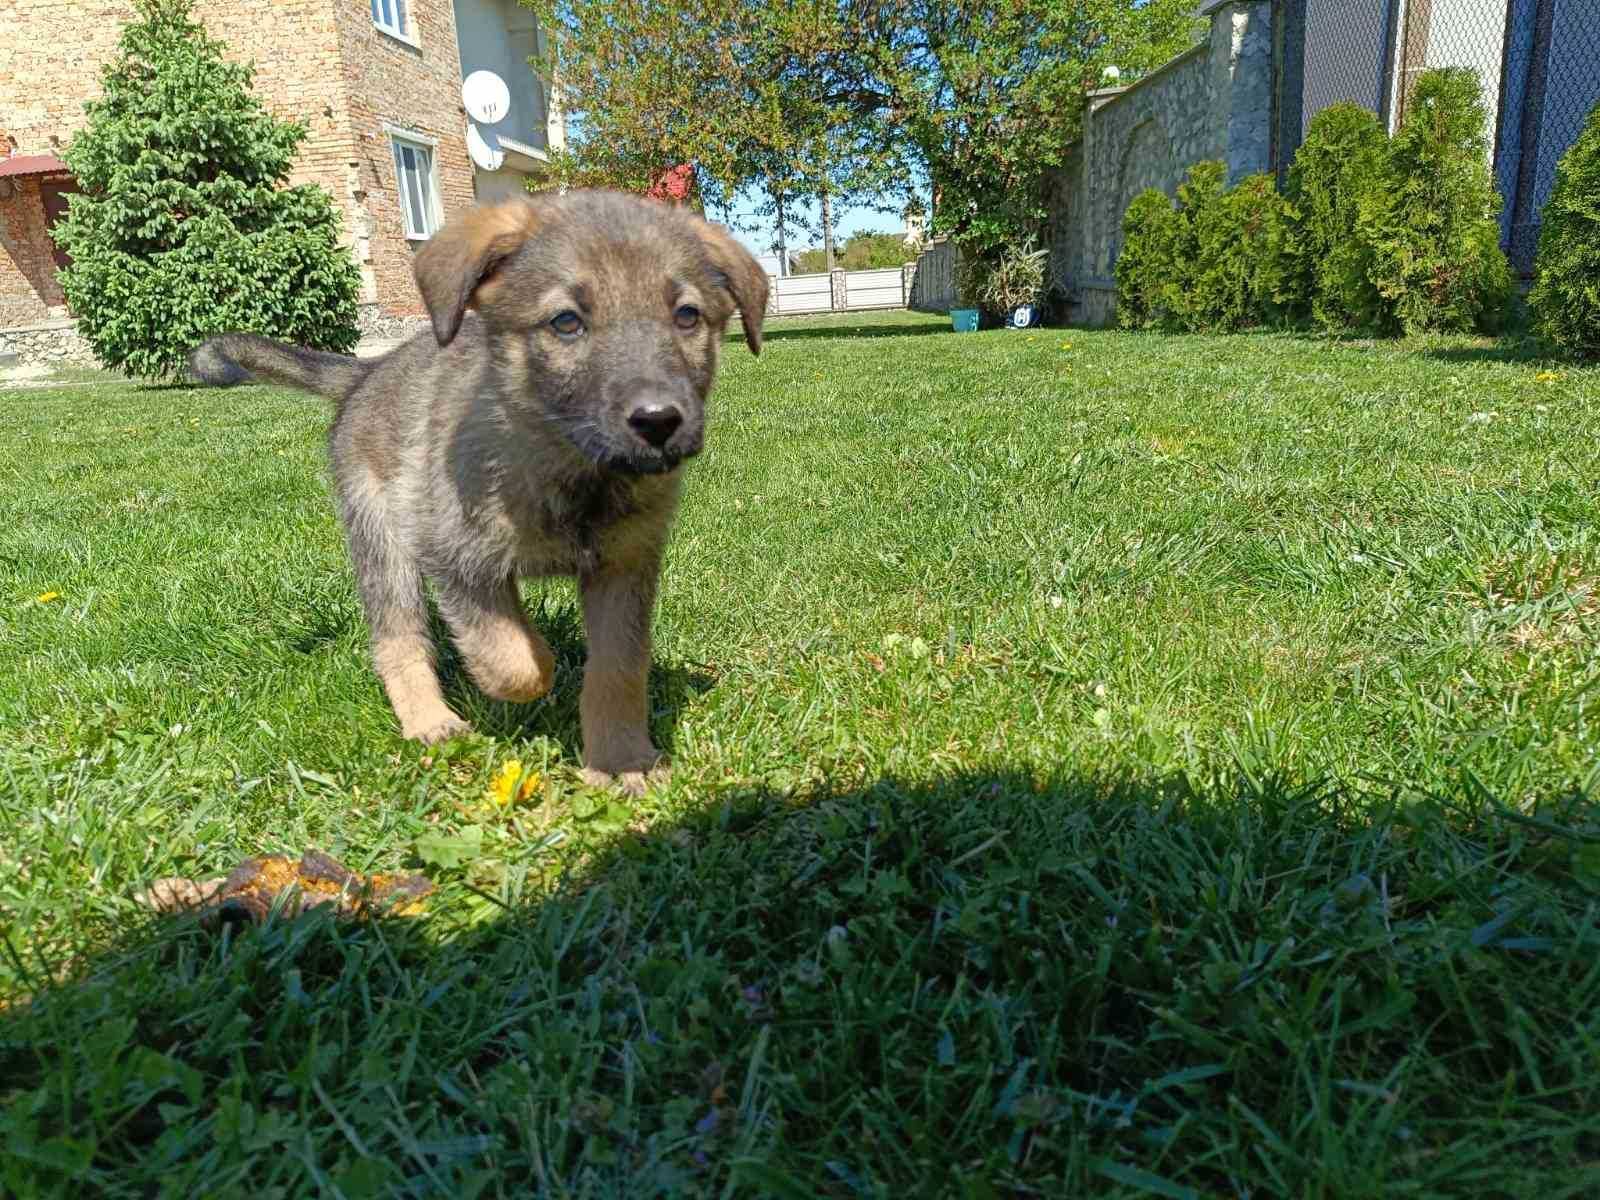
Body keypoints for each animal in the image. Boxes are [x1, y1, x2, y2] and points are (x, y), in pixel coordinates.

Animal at [193, 190, 768, 800]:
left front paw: (621, 760)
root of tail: (368, 371)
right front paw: (538, 664)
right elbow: (515, 660)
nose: (659, 421)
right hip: (382, 543)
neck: (570, 469)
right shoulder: (453, 556)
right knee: (398, 639)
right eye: (566, 322)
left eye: (687, 316)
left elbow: (618, 669)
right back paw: (430, 721)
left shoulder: (625, 565)